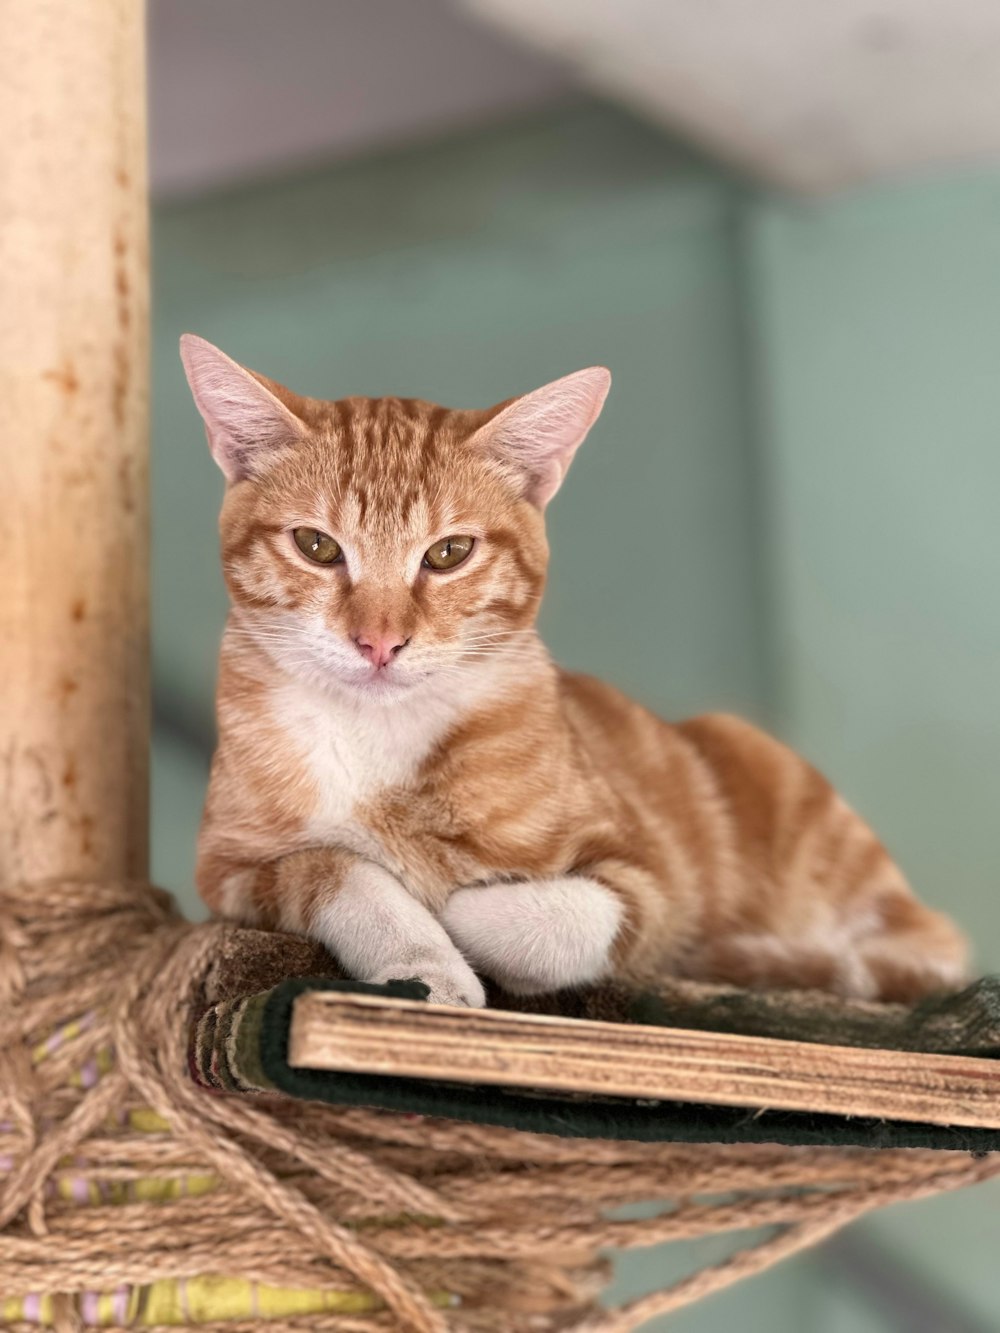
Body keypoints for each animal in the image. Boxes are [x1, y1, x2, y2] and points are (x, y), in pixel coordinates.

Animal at [182, 335, 970, 1007]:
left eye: (448, 553)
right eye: (316, 546)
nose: (379, 643)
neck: (382, 741)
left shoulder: (650, 879)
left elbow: (552, 916)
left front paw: (453, 915)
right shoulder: (230, 873)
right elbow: (343, 871)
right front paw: (425, 959)